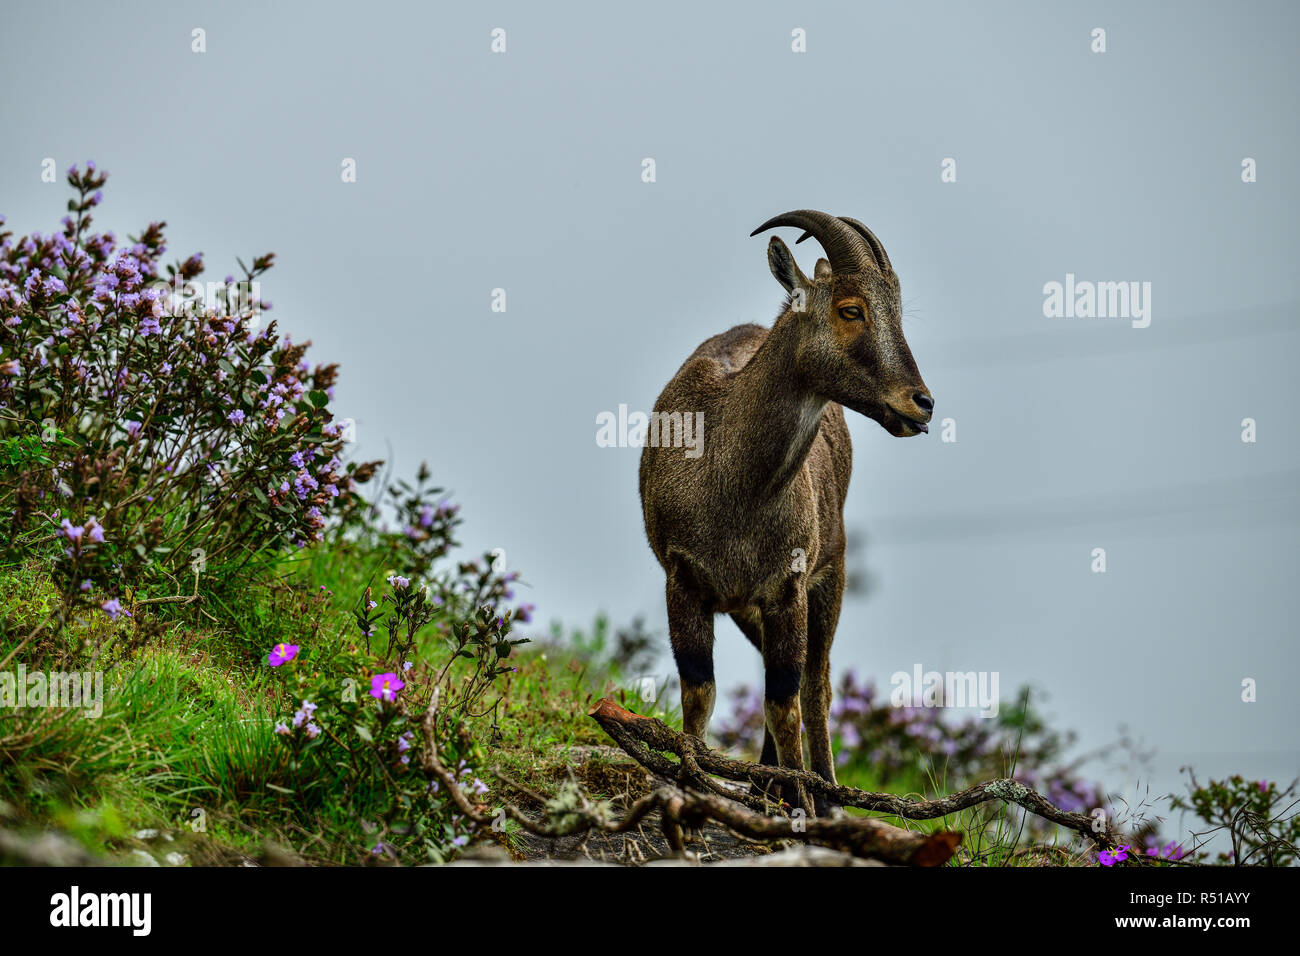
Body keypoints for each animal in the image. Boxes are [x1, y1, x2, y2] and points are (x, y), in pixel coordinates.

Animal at [634, 209, 930, 816]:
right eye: (851, 308)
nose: (922, 404)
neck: (735, 492)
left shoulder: (789, 586)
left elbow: (786, 702)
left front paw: (805, 805)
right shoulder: (684, 578)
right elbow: (700, 692)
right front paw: (690, 781)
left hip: (829, 573)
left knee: (817, 686)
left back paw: (820, 791)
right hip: (751, 606)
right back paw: (764, 781)